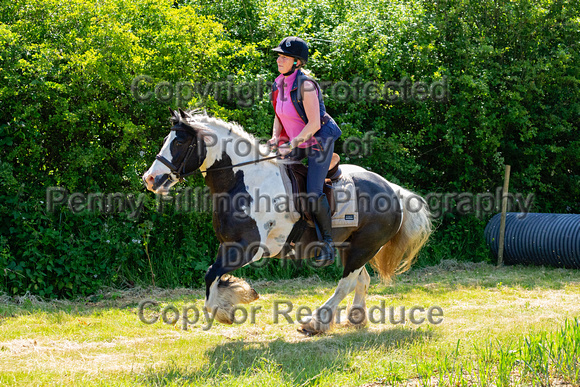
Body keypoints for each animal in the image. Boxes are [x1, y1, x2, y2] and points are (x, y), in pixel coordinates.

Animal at [142, 110, 430, 336]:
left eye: (179, 142)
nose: (150, 179)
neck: (244, 181)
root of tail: (392, 190)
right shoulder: (228, 244)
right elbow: (216, 274)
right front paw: (236, 295)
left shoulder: (250, 249)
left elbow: (212, 274)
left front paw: (220, 310)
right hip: (352, 247)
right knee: (362, 280)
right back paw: (355, 319)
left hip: (364, 247)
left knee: (347, 283)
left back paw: (315, 322)